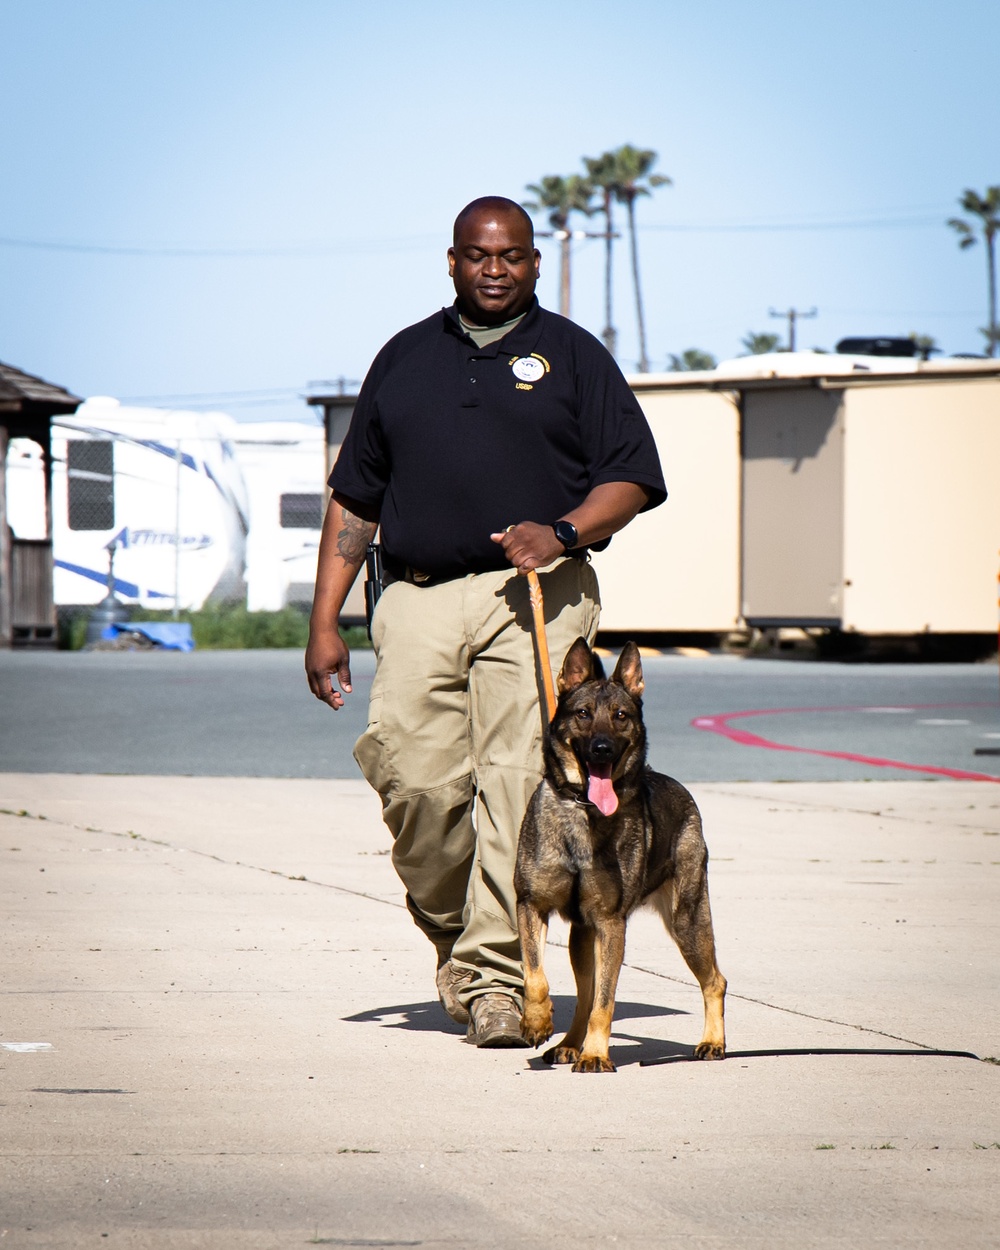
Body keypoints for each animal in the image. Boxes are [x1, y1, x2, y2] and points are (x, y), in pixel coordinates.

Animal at [515, 640, 725, 1070]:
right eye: (582, 714)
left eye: (621, 716)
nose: (602, 748)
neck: (583, 809)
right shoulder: (531, 905)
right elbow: (536, 975)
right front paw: (536, 1021)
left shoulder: (611, 925)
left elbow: (605, 1002)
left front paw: (595, 1054)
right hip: (583, 940)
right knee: (583, 995)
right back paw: (569, 1043)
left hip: (687, 922)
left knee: (715, 980)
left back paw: (713, 1041)